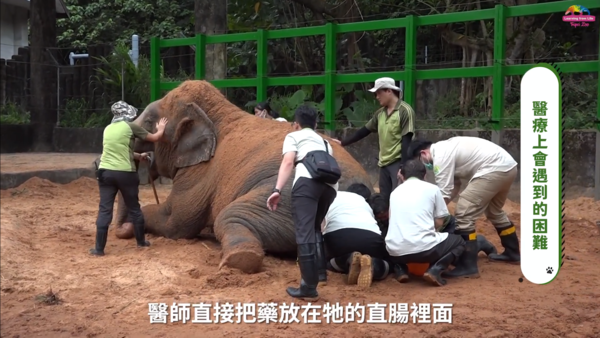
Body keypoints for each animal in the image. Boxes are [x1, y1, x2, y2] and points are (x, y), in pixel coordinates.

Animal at [108, 80, 370, 274]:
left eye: (149, 122)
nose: (142, 157)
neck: (217, 114)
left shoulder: (202, 171)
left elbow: (176, 222)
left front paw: (133, 225)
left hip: (289, 195)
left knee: (230, 216)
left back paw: (237, 260)